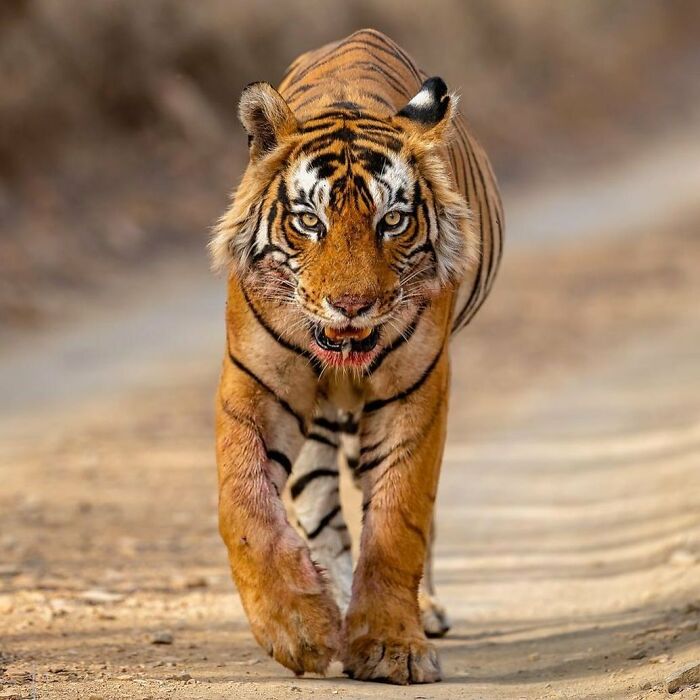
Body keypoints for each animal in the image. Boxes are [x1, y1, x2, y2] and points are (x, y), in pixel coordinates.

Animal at [210, 28, 503, 685]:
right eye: (308, 221)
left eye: (391, 220)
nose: (351, 305)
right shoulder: (257, 384)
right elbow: (246, 509)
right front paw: (298, 630)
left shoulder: (415, 388)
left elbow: (397, 519)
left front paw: (393, 646)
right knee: (320, 506)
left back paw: (419, 610)